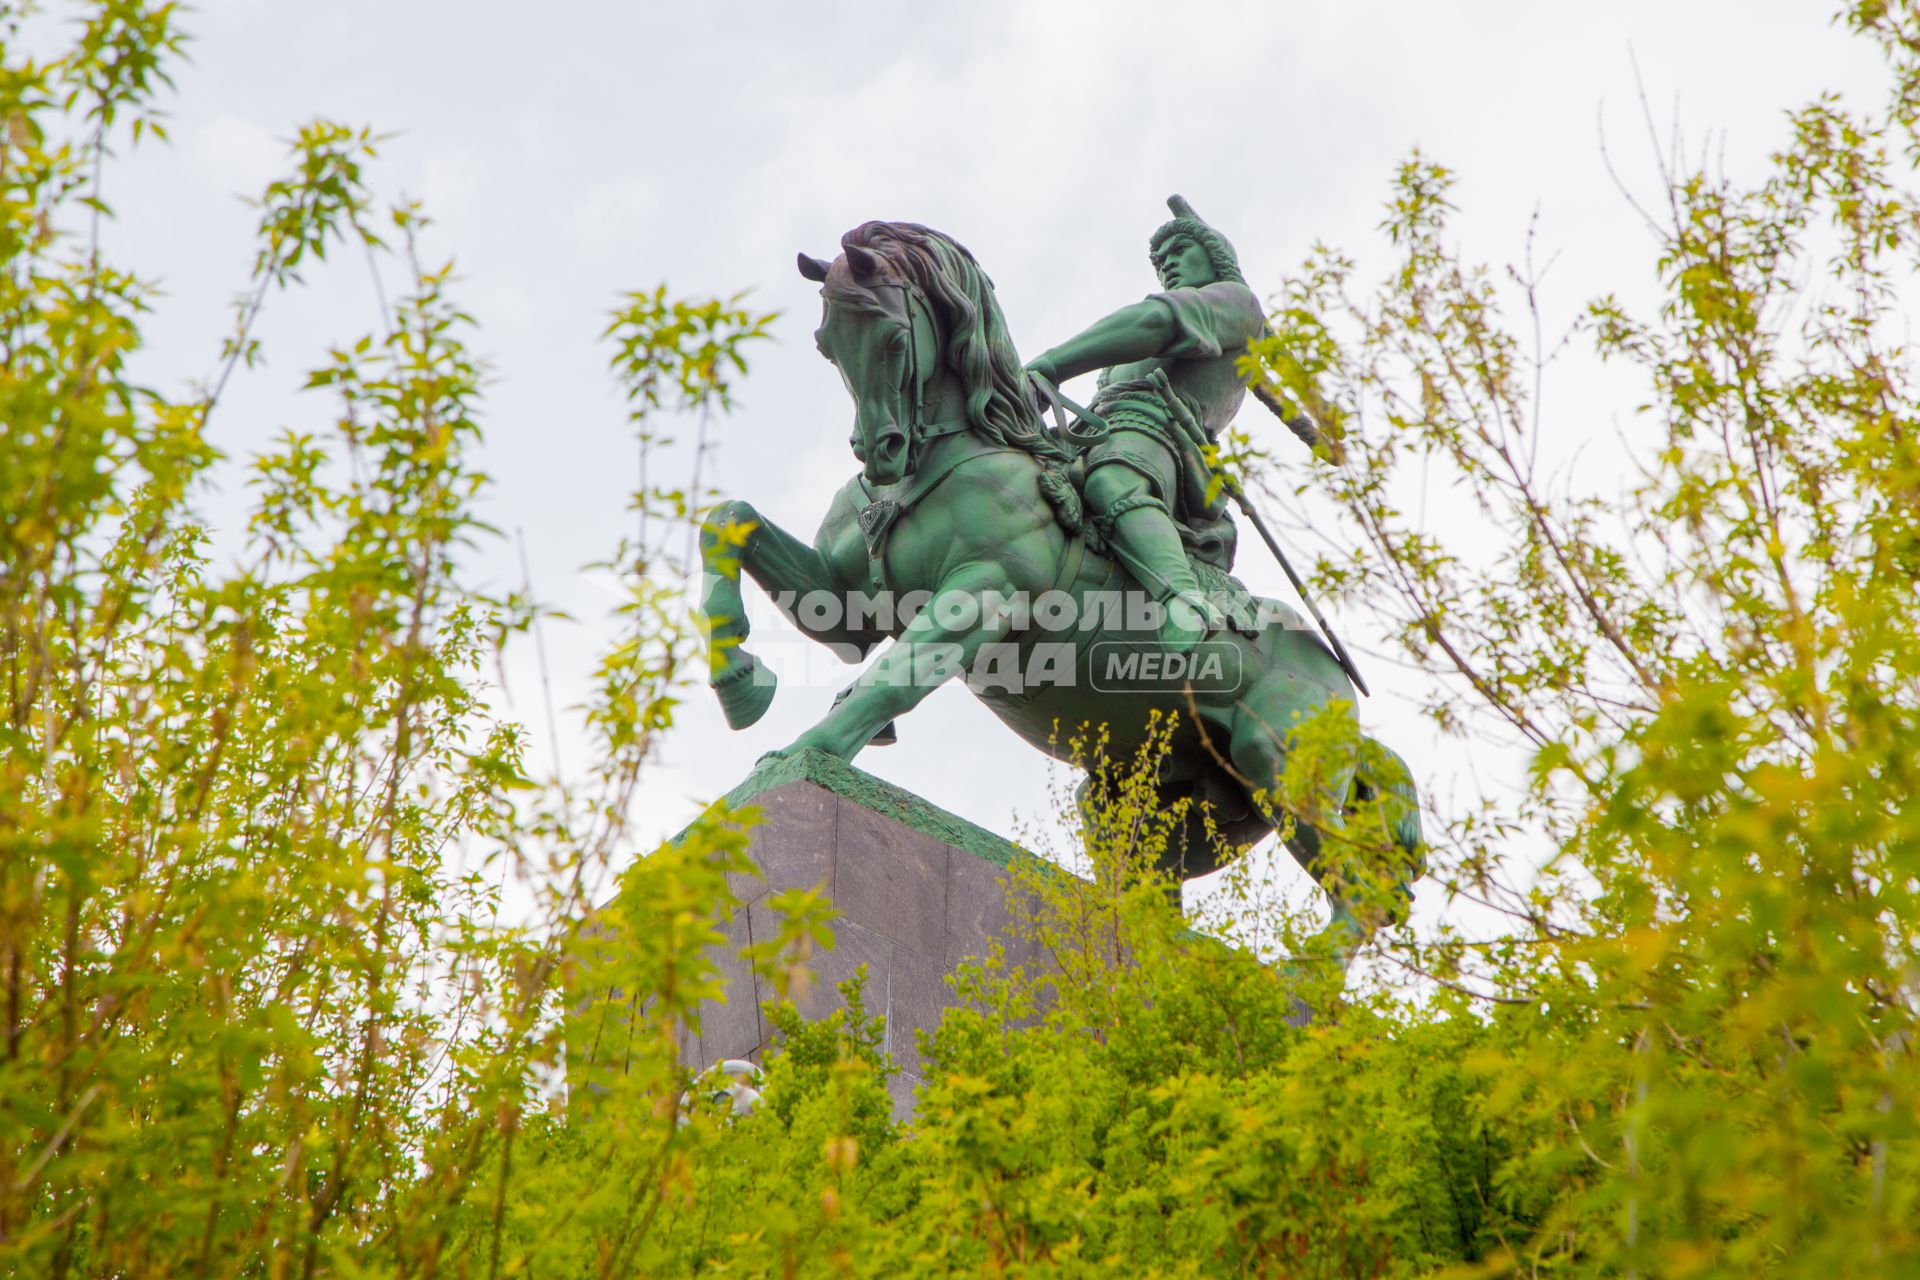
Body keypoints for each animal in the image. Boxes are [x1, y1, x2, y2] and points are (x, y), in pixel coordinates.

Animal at [698, 222, 1420, 951]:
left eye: (894, 337)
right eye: (826, 342)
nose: (879, 453)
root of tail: (1345, 700)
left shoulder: (983, 596)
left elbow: (891, 680)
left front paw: (805, 753)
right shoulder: (844, 609)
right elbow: (727, 521)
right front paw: (741, 684)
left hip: (1277, 767)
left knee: (1363, 897)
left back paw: (1301, 970)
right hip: (1161, 804)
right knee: (1157, 891)